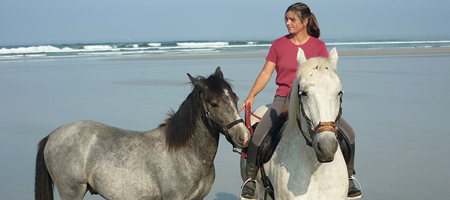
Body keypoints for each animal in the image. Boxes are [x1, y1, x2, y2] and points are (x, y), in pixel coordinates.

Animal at [36, 67, 250, 200]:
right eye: (214, 103)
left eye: (235, 98)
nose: (244, 136)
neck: (186, 154)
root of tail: (52, 136)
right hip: (72, 192)